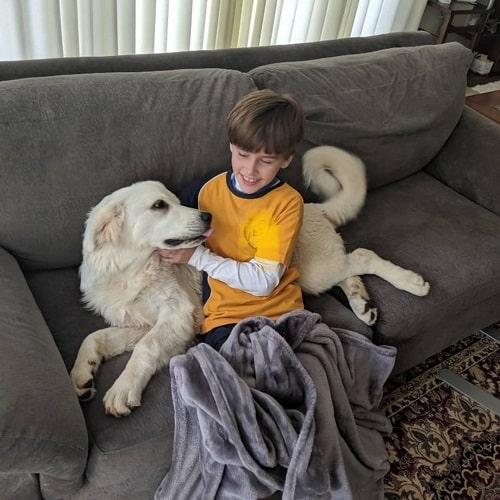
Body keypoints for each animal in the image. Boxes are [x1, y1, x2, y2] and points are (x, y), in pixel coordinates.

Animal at [71, 146, 430, 418]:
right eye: (159, 206)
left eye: (172, 200)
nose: (207, 217)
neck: (129, 269)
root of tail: (311, 207)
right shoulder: (144, 322)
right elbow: (96, 336)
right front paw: (82, 373)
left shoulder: (177, 314)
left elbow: (146, 348)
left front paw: (122, 388)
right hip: (321, 270)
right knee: (350, 266)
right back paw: (362, 304)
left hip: (314, 270)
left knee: (363, 255)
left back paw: (411, 282)